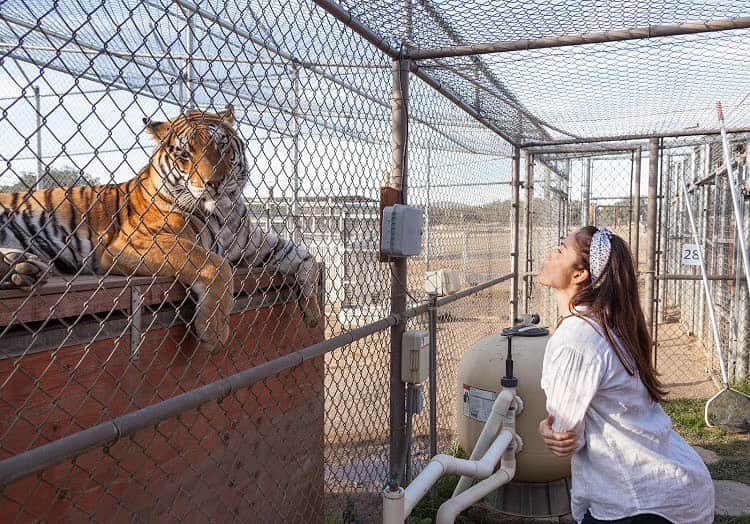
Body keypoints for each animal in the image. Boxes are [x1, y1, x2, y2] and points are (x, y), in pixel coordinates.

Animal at [0, 105, 324, 352]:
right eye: (185, 156)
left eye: (220, 147)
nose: (214, 183)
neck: (223, 211)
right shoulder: (134, 242)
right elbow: (214, 264)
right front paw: (214, 332)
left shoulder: (257, 246)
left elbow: (308, 258)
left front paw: (312, 313)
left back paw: (22, 268)